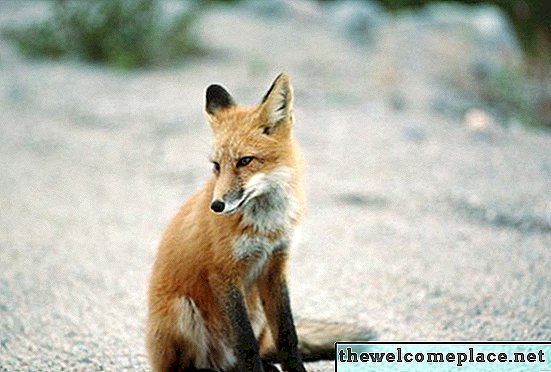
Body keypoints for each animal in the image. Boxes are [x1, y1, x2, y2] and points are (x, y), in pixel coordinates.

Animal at [146, 73, 370, 372]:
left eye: (245, 161)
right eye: (216, 166)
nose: (217, 206)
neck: (266, 227)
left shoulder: (275, 267)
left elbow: (288, 335)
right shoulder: (224, 273)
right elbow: (245, 342)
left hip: (256, 311)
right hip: (182, 311)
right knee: (191, 366)